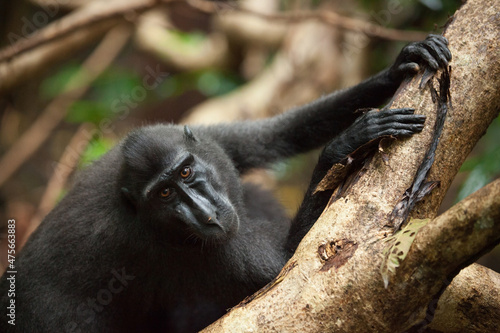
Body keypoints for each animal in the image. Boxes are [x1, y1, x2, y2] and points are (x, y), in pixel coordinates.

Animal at [0, 35, 452, 330]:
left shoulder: (206, 141)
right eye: (165, 194)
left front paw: (396, 68)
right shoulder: (163, 247)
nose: (203, 212)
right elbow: (290, 265)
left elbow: (278, 135)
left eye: (185, 172)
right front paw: (346, 142)